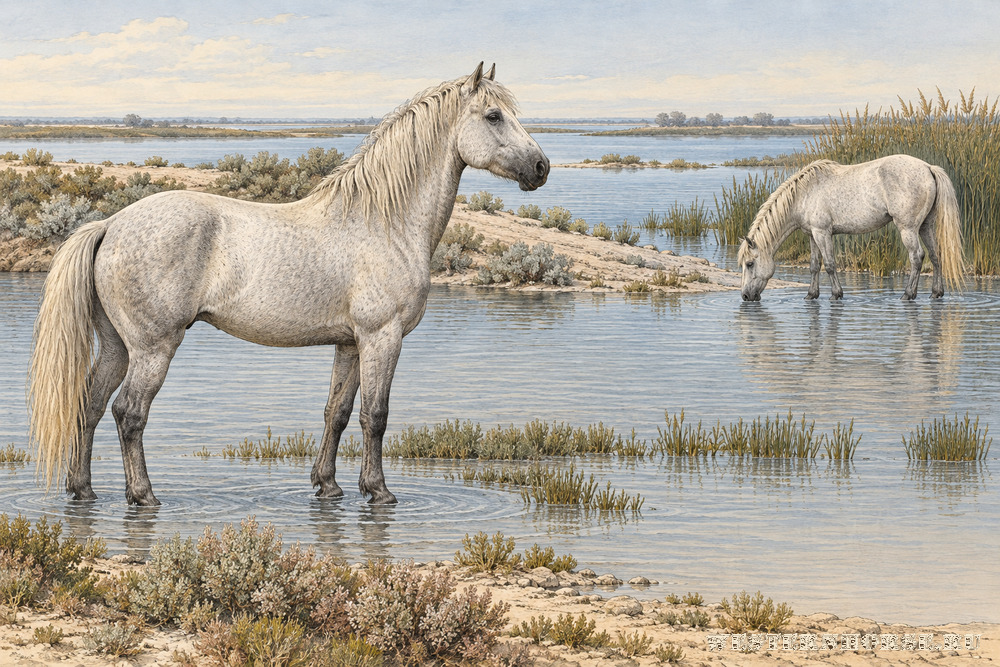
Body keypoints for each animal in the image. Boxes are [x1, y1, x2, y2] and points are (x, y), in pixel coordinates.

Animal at [28, 63, 549, 506]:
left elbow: (337, 413)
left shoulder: (349, 343)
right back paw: (144, 495)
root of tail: (111, 224)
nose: (541, 168)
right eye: (494, 116)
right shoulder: (382, 337)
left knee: (91, 406)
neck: (384, 222)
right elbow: (375, 416)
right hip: (153, 347)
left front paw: (329, 486)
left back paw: (83, 490)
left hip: (118, 346)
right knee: (129, 413)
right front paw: (378, 492)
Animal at [738, 155, 964, 301]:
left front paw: (836, 295)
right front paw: (811, 295)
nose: (746, 296)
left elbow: (829, 264)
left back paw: (908, 295)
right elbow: (814, 266)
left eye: (750, 263)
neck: (804, 193)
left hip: (908, 229)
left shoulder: (823, 233)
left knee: (917, 257)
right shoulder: (812, 234)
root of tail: (928, 168)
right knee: (936, 255)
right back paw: (936, 293)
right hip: (926, 226)